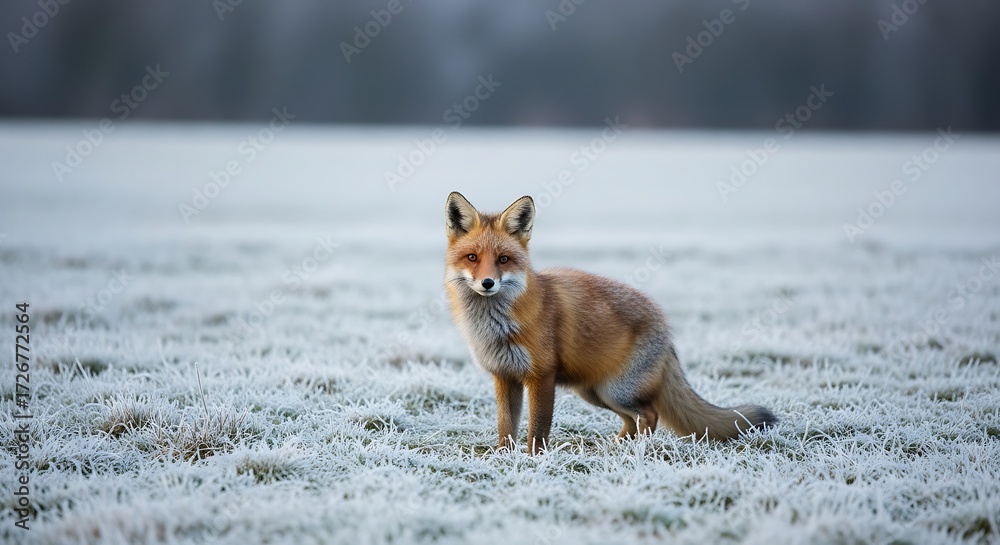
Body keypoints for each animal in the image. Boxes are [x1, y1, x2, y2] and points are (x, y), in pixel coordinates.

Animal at [444, 191, 776, 454]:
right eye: (472, 257)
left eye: (503, 259)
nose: (487, 283)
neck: (495, 326)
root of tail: (665, 327)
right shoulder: (504, 376)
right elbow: (506, 428)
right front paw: (504, 457)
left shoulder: (542, 376)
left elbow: (537, 430)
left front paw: (533, 460)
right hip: (596, 392)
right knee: (632, 420)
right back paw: (615, 447)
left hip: (617, 391)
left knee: (650, 415)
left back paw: (637, 450)